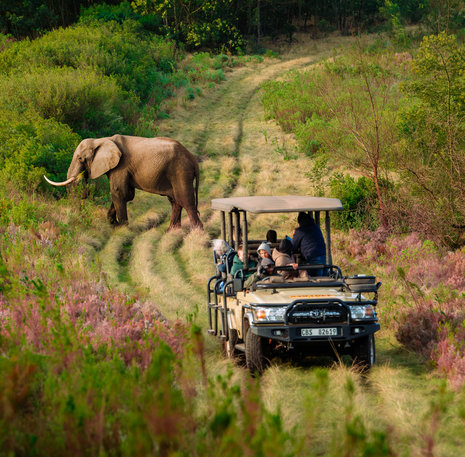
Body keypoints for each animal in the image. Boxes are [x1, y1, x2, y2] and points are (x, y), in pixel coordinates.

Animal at [44, 134, 202, 228]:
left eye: (80, 158)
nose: (85, 191)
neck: (102, 140)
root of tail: (193, 159)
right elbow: (123, 194)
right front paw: (113, 224)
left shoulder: (121, 166)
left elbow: (119, 192)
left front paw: (122, 228)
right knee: (175, 201)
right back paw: (172, 232)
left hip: (180, 171)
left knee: (186, 201)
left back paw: (196, 233)